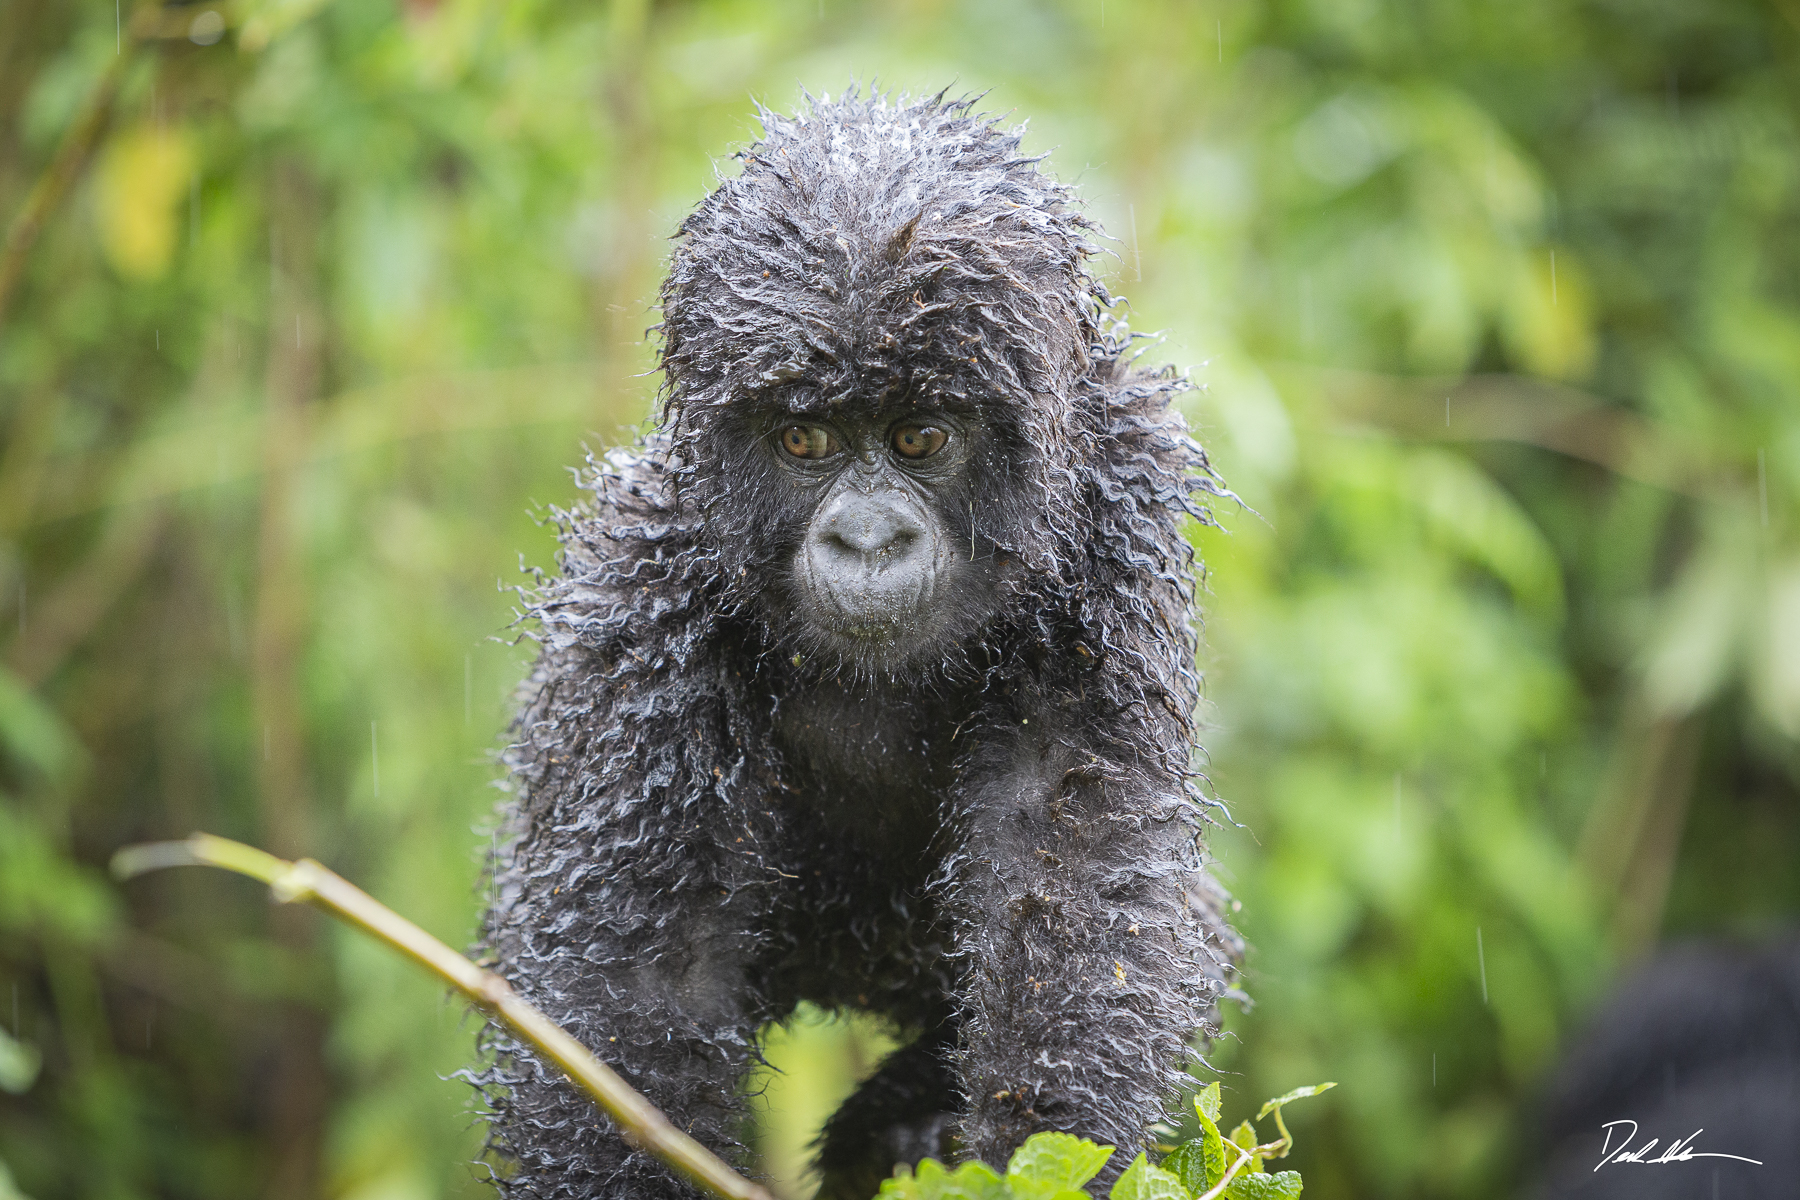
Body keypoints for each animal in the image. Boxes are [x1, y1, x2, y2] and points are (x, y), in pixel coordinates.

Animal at [475, 94, 1238, 1200]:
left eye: (919, 436)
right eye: (806, 441)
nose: (868, 539)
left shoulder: (1114, 532)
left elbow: (1074, 886)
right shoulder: (642, 594)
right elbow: (636, 981)